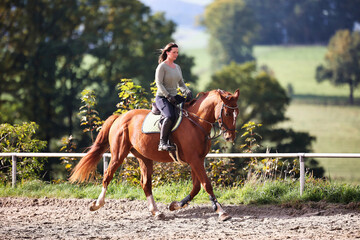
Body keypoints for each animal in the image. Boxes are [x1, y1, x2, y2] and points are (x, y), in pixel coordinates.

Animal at [69, 88, 239, 221]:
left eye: (236, 112)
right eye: (227, 113)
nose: (230, 137)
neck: (196, 122)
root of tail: (120, 117)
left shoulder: (196, 160)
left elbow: (197, 187)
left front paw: (176, 205)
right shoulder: (194, 160)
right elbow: (206, 185)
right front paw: (221, 211)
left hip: (144, 158)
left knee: (145, 183)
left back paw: (156, 212)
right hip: (118, 154)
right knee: (107, 176)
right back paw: (97, 204)